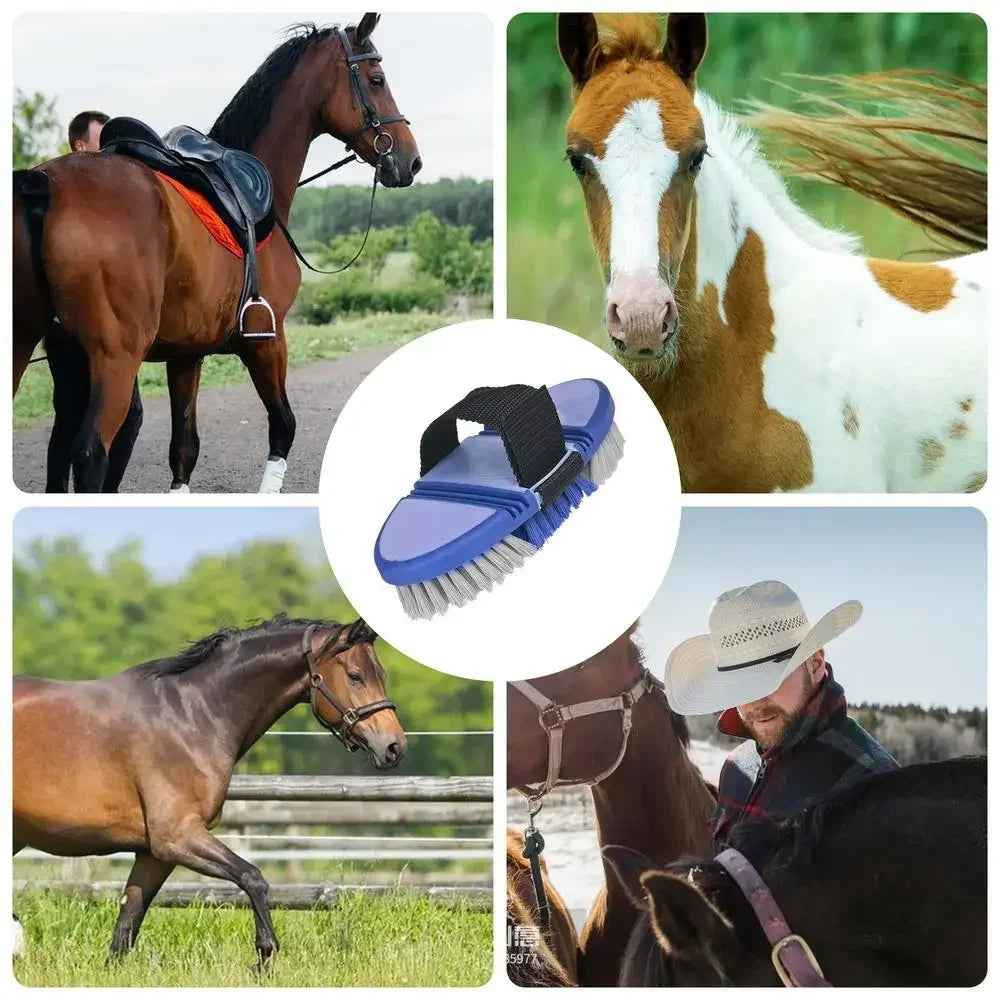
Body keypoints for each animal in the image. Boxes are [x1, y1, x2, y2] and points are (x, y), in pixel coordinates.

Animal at [13, 14, 421, 493]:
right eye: (376, 80)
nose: (411, 160)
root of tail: (46, 185)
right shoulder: (266, 341)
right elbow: (283, 426)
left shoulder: (185, 355)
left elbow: (183, 450)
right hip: (115, 360)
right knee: (91, 454)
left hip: (32, 345)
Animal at [13, 615, 406, 965]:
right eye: (355, 676)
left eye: (383, 675)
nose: (394, 747)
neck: (191, 717)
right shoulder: (178, 836)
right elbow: (253, 877)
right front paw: (264, 955)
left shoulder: (155, 854)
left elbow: (127, 926)